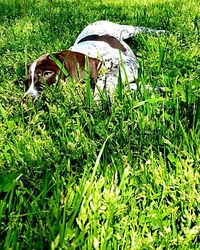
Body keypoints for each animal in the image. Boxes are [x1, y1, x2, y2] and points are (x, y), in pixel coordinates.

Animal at [22, 20, 165, 101]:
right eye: (26, 82)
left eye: (47, 74)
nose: (26, 101)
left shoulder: (129, 63)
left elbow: (108, 76)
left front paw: (101, 93)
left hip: (127, 30)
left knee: (142, 29)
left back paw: (163, 32)